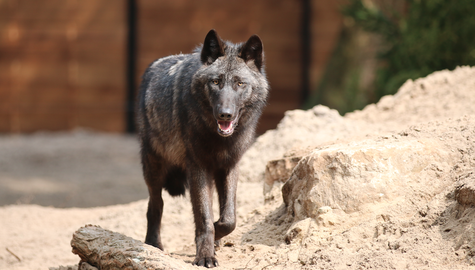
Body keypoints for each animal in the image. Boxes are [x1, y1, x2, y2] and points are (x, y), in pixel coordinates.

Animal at [138, 30, 270, 268]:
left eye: (239, 83)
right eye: (215, 81)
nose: (225, 114)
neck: (219, 139)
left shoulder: (229, 166)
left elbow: (229, 219)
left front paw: (217, 235)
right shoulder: (199, 168)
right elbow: (205, 218)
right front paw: (205, 255)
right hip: (153, 167)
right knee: (155, 205)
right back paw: (153, 244)